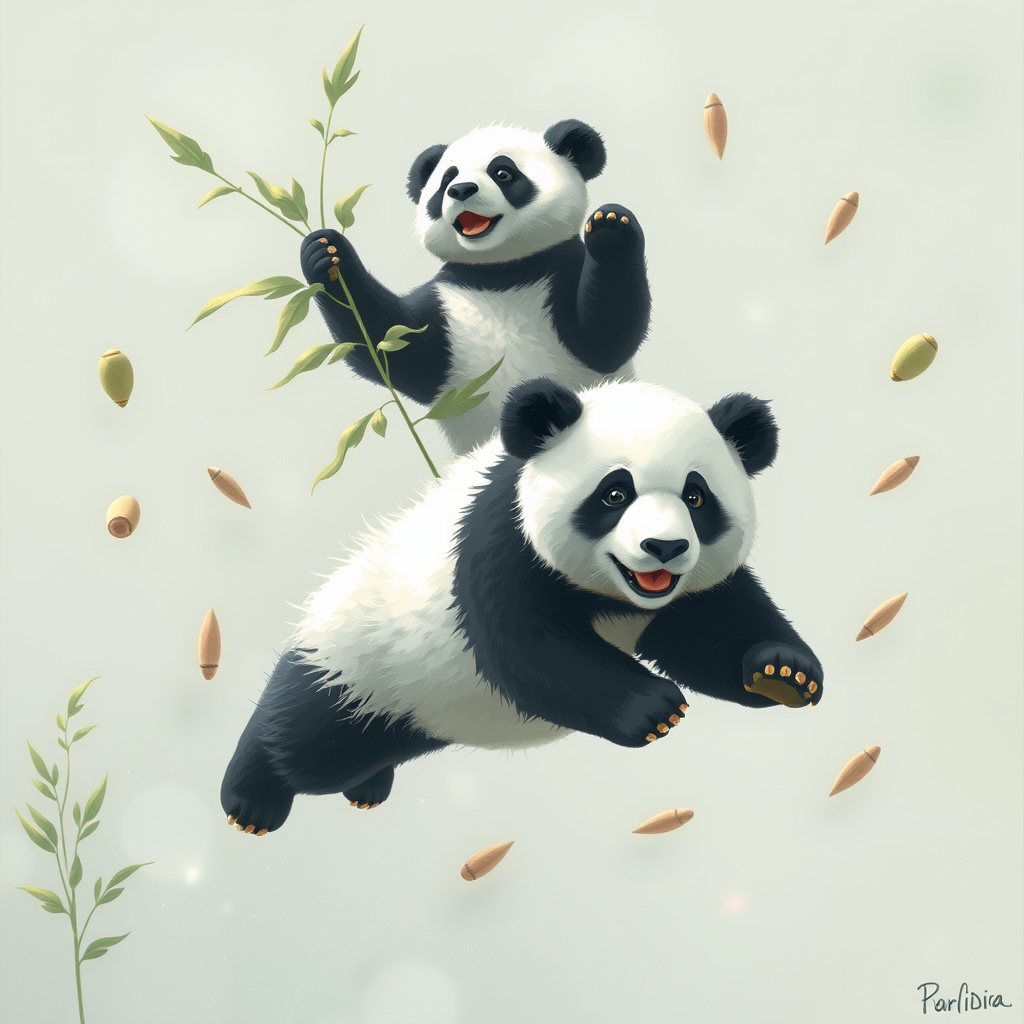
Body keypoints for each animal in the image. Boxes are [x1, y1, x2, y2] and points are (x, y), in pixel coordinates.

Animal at [220, 378, 824, 835]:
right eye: (615, 493)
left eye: (696, 497)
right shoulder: (499, 546)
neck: (615, 593)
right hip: (364, 659)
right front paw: (654, 707)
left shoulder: (686, 594)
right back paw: (250, 800)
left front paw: (782, 672)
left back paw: (368, 786)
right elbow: (528, 651)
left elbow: (715, 631)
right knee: (305, 737)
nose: (665, 547)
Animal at [299, 120, 651, 455]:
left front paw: (609, 226)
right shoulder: (445, 304)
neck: (501, 272)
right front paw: (326, 252)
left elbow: (605, 337)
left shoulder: (561, 270)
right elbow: (393, 346)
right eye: (446, 180)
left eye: (503, 172)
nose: (461, 190)